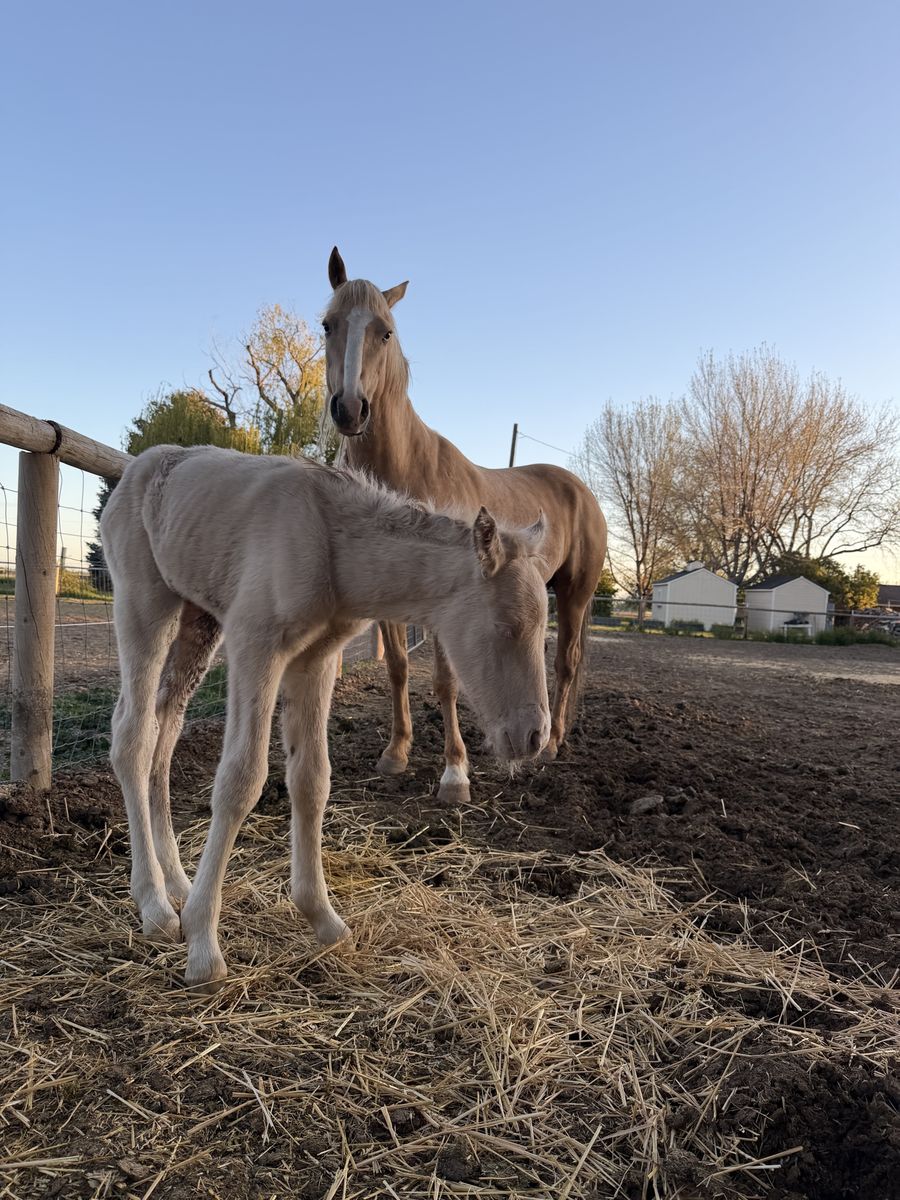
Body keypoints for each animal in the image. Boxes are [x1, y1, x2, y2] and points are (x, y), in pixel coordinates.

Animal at [101, 444, 550, 990]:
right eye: (506, 627)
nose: (535, 736)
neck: (331, 540)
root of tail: (138, 468)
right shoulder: (255, 644)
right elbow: (240, 781)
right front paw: (204, 947)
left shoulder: (314, 659)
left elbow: (312, 779)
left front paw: (323, 919)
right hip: (145, 602)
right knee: (133, 736)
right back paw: (156, 906)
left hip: (199, 619)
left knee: (167, 727)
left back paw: (178, 884)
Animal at [324, 248, 607, 802]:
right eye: (328, 325)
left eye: (385, 332)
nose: (349, 409)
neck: (406, 467)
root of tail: (580, 488)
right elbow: (397, 668)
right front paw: (396, 753)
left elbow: (446, 681)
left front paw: (455, 773)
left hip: (576, 594)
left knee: (566, 662)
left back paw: (554, 744)